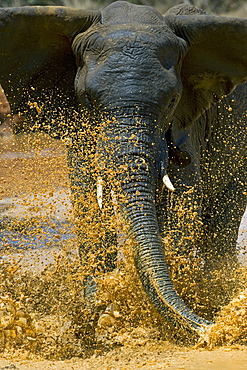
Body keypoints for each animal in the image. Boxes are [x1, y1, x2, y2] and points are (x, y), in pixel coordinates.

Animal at [0, 0, 247, 336]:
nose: (210, 329)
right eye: (87, 99)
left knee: (222, 221)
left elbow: (181, 206)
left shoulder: (188, 129)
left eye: (172, 101)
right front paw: (101, 314)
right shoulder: (82, 129)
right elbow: (90, 206)